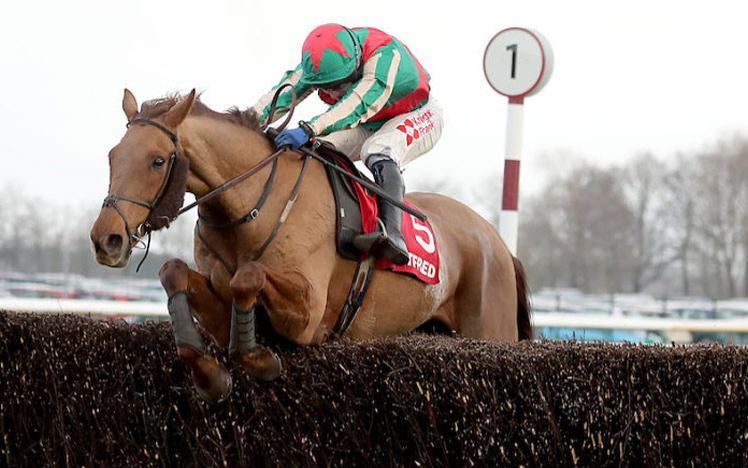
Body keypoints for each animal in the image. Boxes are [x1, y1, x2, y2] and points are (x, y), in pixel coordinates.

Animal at [90, 88, 532, 402]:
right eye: (111, 156)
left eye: (157, 161)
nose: (105, 239)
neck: (254, 204)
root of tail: (497, 242)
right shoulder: (218, 296)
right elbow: (174, 271)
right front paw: (210, 373)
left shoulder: (308, 314)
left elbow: (248, 275)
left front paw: (259, 359)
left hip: (491, 331)